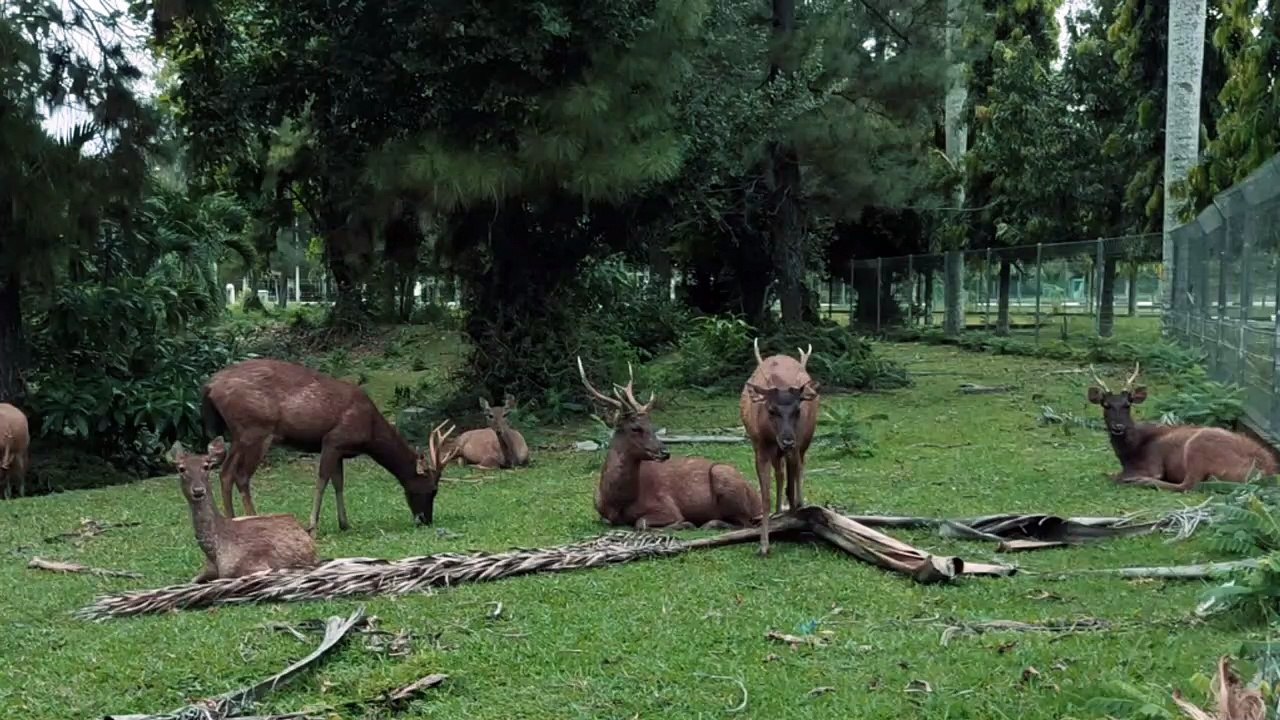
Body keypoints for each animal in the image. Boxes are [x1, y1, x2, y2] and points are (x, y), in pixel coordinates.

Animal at [170, 437, 318, 583]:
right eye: (181, 468)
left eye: (207, 466)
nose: (198, 490)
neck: (215, 553)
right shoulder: (207, 570)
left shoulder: (255, 566)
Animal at [200, 358, 459, 532]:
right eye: (433, 489)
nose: (425, 520)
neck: (370, 432)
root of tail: (210, 386)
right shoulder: (333, 440)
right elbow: (322, 480)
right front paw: (312, 525)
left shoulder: (341, 450)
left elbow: (339, 483)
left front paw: (345, 523)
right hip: (256, 429)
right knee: (241, 475)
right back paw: (254, 518)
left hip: (238, 434)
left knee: (226, 473)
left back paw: (232, 519)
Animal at [577, 357, 763, 530]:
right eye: (636, 428)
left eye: (652, 425)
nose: (665, 452)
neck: (616, 501)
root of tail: (757, 501)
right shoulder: (602, 513)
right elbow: (609, 520)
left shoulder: (667, 505)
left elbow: (641, 522)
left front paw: (685, 524)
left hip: (724, 475)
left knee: (746, 523)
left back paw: (709, 523)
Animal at [740, 338, 821, 556]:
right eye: (771, 410)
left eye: (798, 410)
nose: (787, 440)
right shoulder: (759, 447)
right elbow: (765, 497)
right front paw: (764, 544)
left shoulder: (795, 447)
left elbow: (791, 490)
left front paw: (794, 524)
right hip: (776, 452)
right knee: (780, 473)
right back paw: (778, 511)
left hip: (804, 443)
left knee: (800, 469)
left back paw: (799, 505)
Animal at [1088, 362, 1278, 492]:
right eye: (1106, 405)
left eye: (1128, 404)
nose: (1118, 427)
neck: (1131, 451)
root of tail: (1267, 472)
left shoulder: (1152, 464)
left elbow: (1115, 476)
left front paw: (1128, 478)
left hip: (1199, 446)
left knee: (1188, 485)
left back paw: (1142, 482)